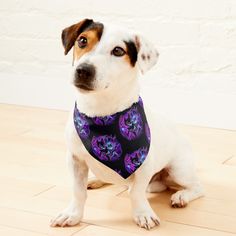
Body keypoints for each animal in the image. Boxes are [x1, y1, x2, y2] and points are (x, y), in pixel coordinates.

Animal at [50, 18, 204, 230]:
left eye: (118, 51)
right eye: (82, 40)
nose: (83, 70)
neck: (101, 114)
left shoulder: (143, 165)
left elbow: (136, 193)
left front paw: (143, 214)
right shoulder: (75, 160)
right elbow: (78, 191)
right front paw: (72, 214)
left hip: (179, 170)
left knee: (196, 187)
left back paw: (181, 196)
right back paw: (95, 180)